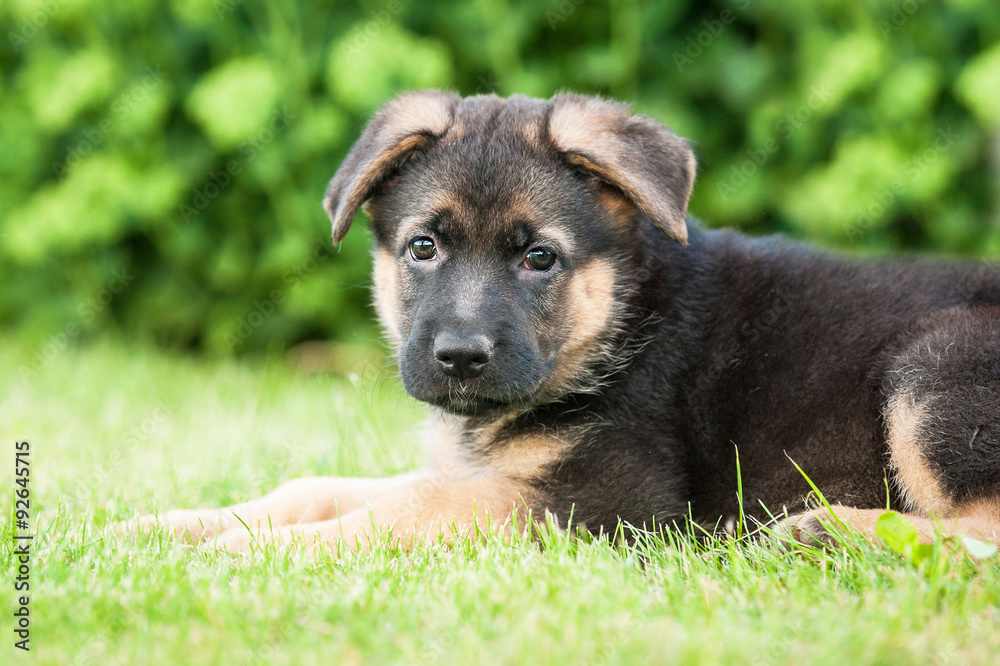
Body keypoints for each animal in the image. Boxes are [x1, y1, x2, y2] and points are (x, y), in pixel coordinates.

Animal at [139, 92, 1000, 548]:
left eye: (539, 258)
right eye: (423, 248)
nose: (459, 357)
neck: (624, 319)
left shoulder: (604, 501)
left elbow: (392, 512)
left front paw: (244, 554)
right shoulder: (484, 471)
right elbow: (317, 487)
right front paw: (166, 526)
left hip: (937, 363)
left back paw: (836, 530)